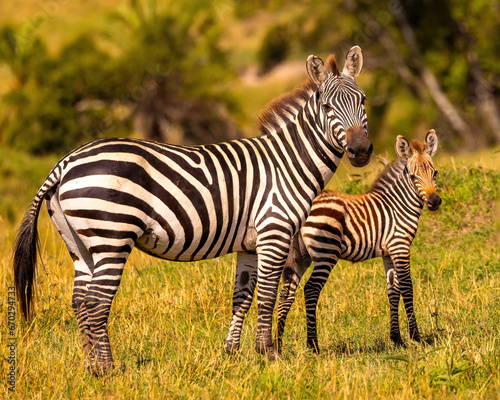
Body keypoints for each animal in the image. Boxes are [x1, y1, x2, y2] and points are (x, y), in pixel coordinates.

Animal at [12, 46, 372, 372]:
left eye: (363, 101)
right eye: (327, 106)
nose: (361, 151)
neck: (288, 162)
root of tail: (65, 162)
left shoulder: (250, 244)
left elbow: (242, 296)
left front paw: (232, 354)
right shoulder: (275, 231)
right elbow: (268, 295)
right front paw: (269, 354)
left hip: (80, 243)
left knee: (80, 301)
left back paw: (91, 367)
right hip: (111, 235)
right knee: (96, 302)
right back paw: (108, 370)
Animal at [278, 130, 442, 352]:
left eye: (435, 173)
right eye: (412, 176)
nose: (434, 202)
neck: (398, 205)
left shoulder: (388, 253)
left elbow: (393, 291)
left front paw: (397, 339)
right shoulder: (400, 246)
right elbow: (407, 287)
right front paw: (415, 336)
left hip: (300, 256)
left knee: (286, 293)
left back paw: (277, 344)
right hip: (325, 252)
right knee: (311, 290)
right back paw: (313, 345)